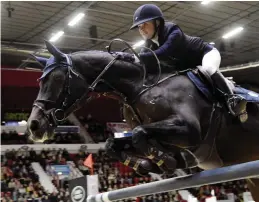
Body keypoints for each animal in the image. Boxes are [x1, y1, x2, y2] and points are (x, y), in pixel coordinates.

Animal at [26, 41, 259, 199]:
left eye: (57, 79)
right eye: (39, 80)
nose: (34, 126)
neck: (139, 86)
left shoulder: (190, 130)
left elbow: (140, 134)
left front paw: (164, 161)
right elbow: (114, 144)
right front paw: (152, 163)